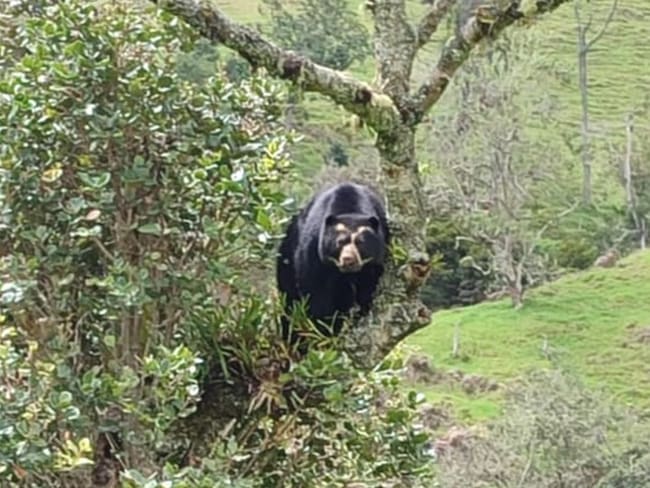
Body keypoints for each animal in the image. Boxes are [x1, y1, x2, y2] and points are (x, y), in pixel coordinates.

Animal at [276, 182, 390, 344]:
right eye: (340, 242)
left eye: (360, 242)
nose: (348, 259)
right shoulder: (313, 249)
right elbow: (316, 292)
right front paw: (324, 329)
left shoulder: (377, 255)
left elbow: (369, 285)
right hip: (286, 260)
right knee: (290, 301)